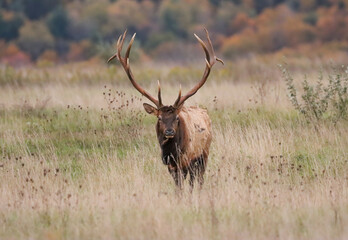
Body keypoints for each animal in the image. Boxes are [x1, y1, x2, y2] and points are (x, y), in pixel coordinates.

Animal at [107, 28, 224, 189]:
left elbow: (187, 185)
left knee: (198, 179)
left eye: (176, 118)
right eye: (160, 118)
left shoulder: (187, 160)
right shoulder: (170, 166)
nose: (169, 131)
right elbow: (177, 187)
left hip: (204, 153)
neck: (172, 153)